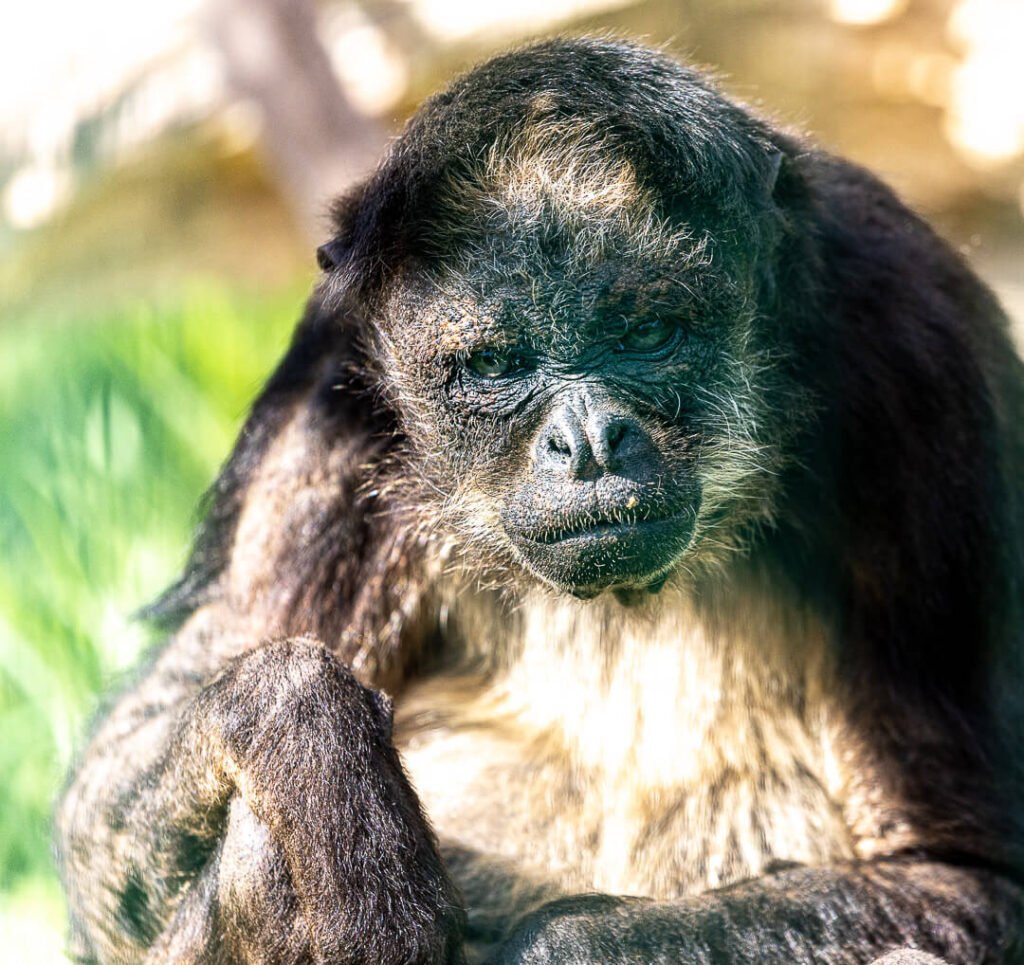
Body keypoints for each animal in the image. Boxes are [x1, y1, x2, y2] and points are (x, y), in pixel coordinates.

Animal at [54, 34, 1024, 962]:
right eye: (496, 363)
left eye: (646, 333)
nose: (586, 441)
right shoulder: (327, 392)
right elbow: (138, 758)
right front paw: (306, 736)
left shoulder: (917, 342)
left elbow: (967, 876)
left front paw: (562, 941)